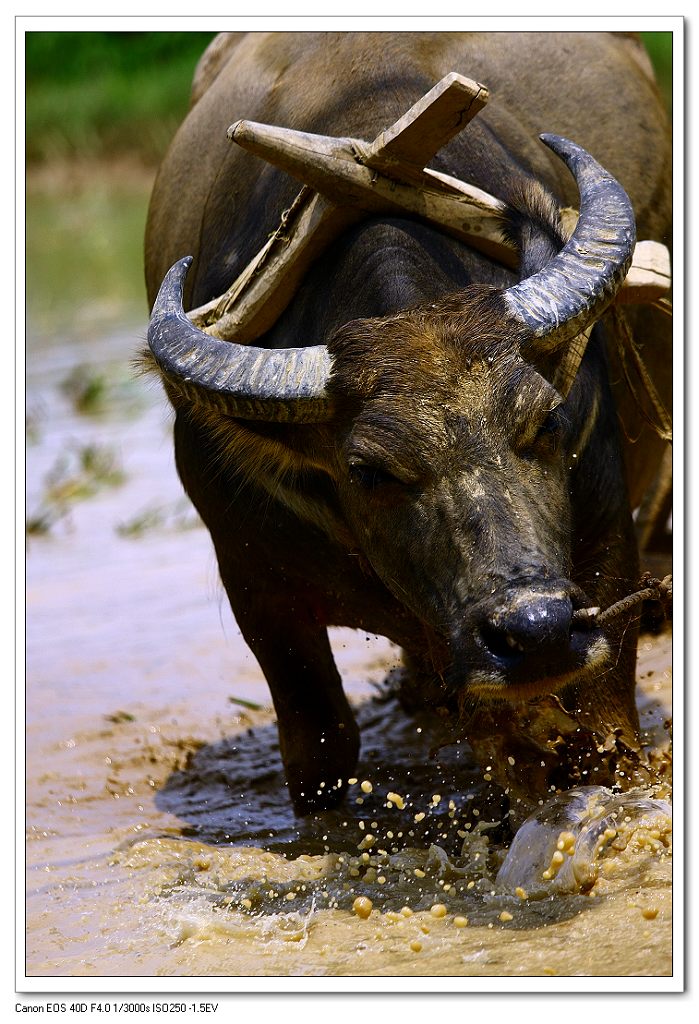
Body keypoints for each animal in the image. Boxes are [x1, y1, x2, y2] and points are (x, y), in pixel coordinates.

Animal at [143, 32, 671, 811]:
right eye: (367, 472)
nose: (534, 628)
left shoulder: (606, 550)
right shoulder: (256, 590)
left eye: (545, 422)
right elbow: (323, 753)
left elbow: (605, 735)